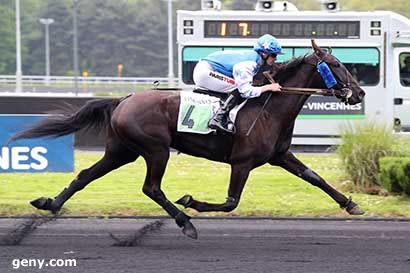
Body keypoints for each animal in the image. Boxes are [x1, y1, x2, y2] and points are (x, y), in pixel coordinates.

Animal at [11, 39, 366, 238]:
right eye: (336, 64)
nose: (359, 93)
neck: (269, 108)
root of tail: (124, 99)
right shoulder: (242, 162)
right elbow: (230, 202)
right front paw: (192, 201)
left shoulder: (280, 156)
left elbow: (315, 177)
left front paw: (351, 204)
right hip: (155, 148)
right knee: (151, 188)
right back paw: (185, 222)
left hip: (121, 151)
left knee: (85, 175)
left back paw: (50, 203)